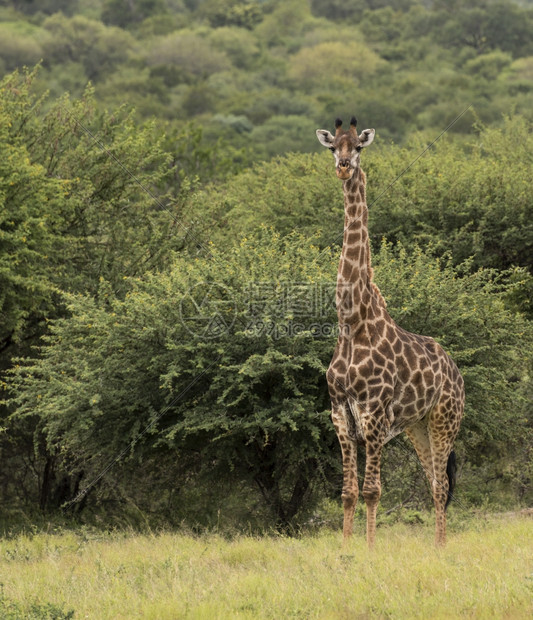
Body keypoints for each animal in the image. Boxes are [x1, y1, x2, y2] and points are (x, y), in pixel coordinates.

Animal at [316, 116, 462, 548]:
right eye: (334, 147)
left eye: (358, 148)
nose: (344, 166)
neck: (352, 322)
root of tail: (456, 371)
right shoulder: (340, 414)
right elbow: (347, 492)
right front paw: (345, 549)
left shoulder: (375, 414)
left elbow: (372, 490)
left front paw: (368, 550)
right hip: (417, 426)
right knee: (434, 481)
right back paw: (436, 546)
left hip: (444, 419)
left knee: (440, 486)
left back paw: (440, 548)